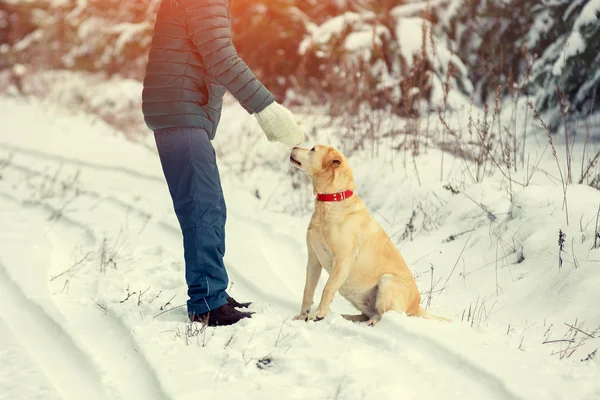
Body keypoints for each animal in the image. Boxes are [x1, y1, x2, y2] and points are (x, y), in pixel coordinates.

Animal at [288, 144, 448, 324]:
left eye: (313, 149)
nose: (293, 146)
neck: (332, 200)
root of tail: (416, 307)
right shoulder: (314, 259)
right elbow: (308, 290)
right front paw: (303, 315)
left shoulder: (343, 260)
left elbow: (327, 288)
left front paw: (319, 314)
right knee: (368, 314)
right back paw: (347, 317)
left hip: (387, 281)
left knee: (385, 315)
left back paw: (370, 322)